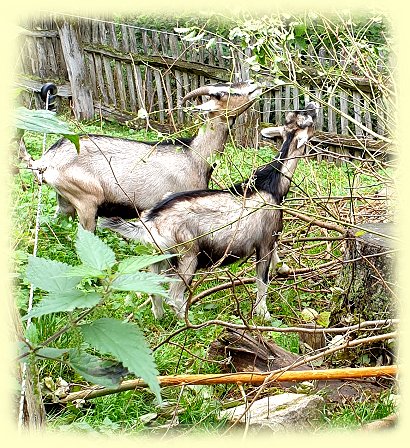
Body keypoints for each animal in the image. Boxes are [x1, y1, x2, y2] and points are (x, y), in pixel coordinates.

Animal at [18, 80, 260, 231]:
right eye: (221, 94)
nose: (254, 85)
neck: (194, 156)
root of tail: (46, 161)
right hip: (86, 200)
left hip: (65, 201)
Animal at [101, 102, 318, 318]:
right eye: (308, 120)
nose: (312, 104)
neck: (272, 184)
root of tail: (152, 222)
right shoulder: (266, 239)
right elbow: (262, 281)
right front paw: (264, 314)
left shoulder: (269, 238)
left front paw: (284, 269)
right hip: (187, 256)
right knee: (174, 295)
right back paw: (188, 321)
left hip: (158, 255)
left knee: (154, 290)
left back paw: (160, 319)